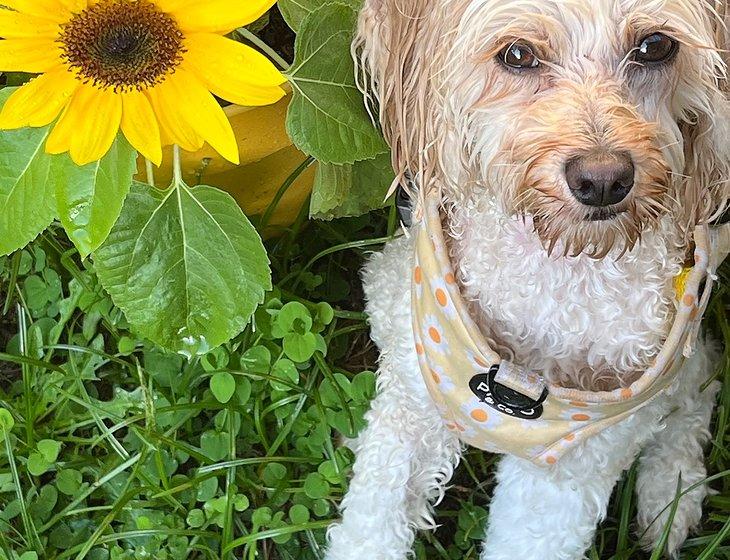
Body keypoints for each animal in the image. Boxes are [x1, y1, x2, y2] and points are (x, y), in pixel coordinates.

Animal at [322, 1, 728, 560]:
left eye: (656, 46)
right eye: (517, 54)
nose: (602, 180)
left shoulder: (572, 468)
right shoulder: (411, 408)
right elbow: (370, 526)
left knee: (701, 378)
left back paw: (671, 491)